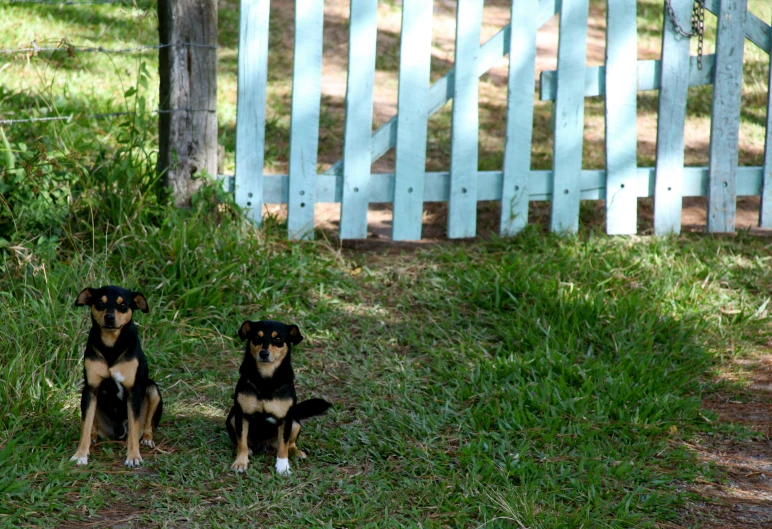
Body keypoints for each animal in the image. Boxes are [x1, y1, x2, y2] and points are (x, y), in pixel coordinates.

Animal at [70, 284, 162, 466]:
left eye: (123, 304)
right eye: (100, 302)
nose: (110, 317)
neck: (111, 346)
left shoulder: (133, 392)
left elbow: (134, 429)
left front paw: (133, 457)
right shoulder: (90, 389)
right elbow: (85, 425)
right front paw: (80, 454)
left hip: (153, 389)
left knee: (147, 425)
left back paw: (147, 439)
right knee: (92, 424)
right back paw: (93, 436)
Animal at [225, 320, 330, 476]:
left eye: (278, 339)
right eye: (257, 337)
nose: (264, 353)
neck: (266, 378)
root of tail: (264, 444)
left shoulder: (285, 419)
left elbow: (283, 446)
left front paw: (283, 466)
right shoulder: (242, 415)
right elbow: (242, 442)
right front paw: (240, 462)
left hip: (295, 421)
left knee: (289, 443)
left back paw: (296, 452)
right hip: (232, 417)